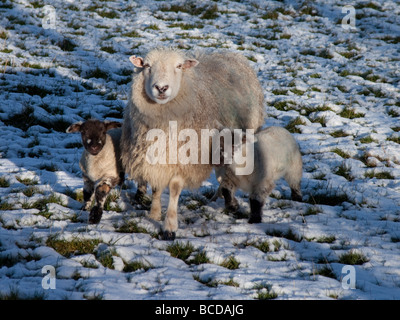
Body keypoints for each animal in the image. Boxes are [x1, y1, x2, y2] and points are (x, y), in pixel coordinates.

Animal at [122, 46, 266, 239]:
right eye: (146, 65)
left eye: (179, 66)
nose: (161, 88)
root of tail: (230, 54)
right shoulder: (157, 157)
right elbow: (157, 187)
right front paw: (154, 213)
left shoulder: (185, 158)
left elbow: (175, 188)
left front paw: (169, 226)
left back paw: (229, 200)